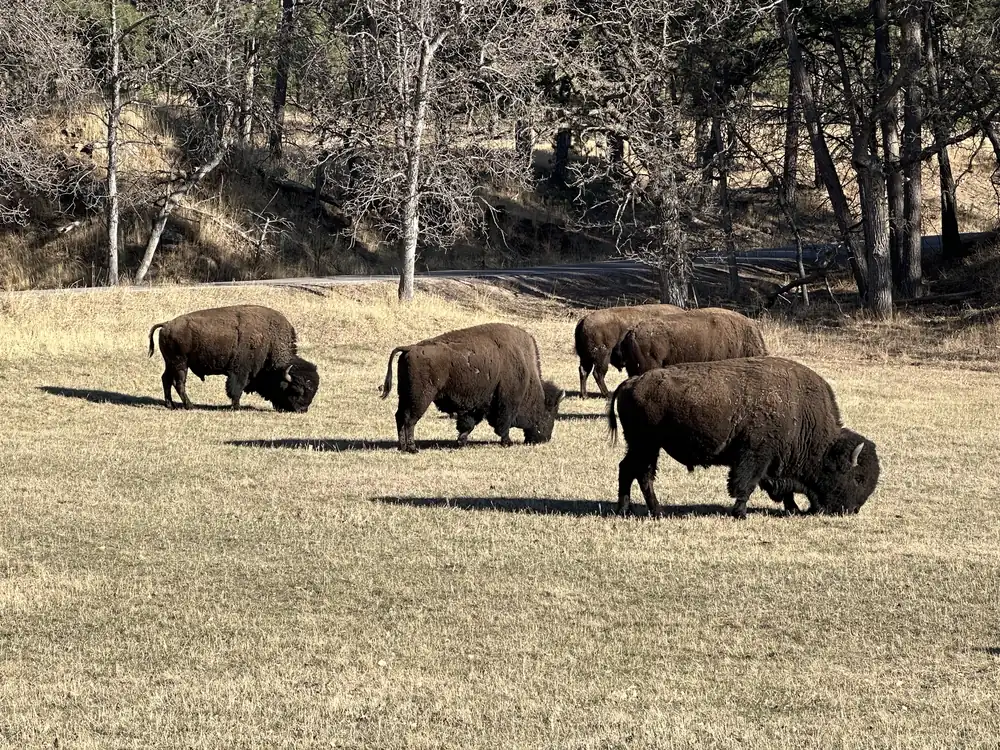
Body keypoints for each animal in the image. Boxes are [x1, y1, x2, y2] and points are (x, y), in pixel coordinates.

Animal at [148, 304, 319, 412]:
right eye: (296, 390)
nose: (302, 409)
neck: (270, 340)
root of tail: (166, 324)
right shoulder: (239, 372)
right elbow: (236, 389)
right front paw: (236, 407)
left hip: (170, 363)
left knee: (166, 379)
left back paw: (170, 405)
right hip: (180, 363)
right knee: (179, 383)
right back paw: (190, 406)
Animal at [381, 323, 564, 452]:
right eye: (549, 413)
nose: (544, 439)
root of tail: (410, 348)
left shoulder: (477, 406)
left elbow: (468, 424)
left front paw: (460, 442)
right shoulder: (506, 404)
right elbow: (503, 425)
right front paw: (507, 442)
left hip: (405, 396)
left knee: (400, 417)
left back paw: (402, 447)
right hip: (421, 398)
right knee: (410, 420)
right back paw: (412, 449)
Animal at [607, 357, 880, 519]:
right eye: (857, 477)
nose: (853, 510)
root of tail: (631, 382)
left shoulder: (774, 463)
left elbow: (779, 488)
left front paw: (792, 508)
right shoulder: (754, 456)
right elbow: (745, 484)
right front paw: (740, 513)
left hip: (643, 446)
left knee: (629, 470)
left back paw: (627, 510)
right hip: (646, 445)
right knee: (640, 473)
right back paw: (655, 511)